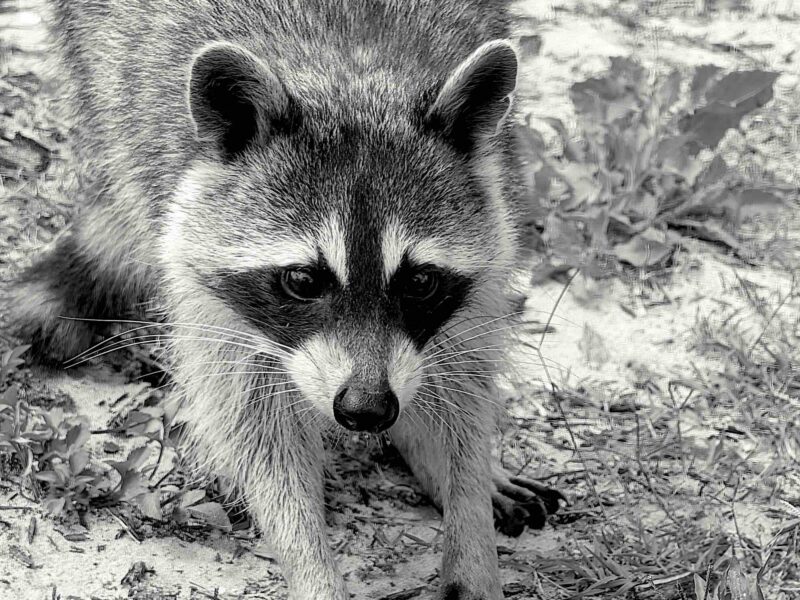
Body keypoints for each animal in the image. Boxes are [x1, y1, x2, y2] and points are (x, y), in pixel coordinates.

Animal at [8, 1, 564, 598]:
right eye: (302, 280)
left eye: (418, 282)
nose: (367, 410)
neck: (347, 76)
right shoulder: (202, 277)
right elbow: (259, 434)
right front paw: (310, 562)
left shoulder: (490, 226)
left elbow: (462, 379)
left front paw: (466, 506)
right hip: (102, 88)